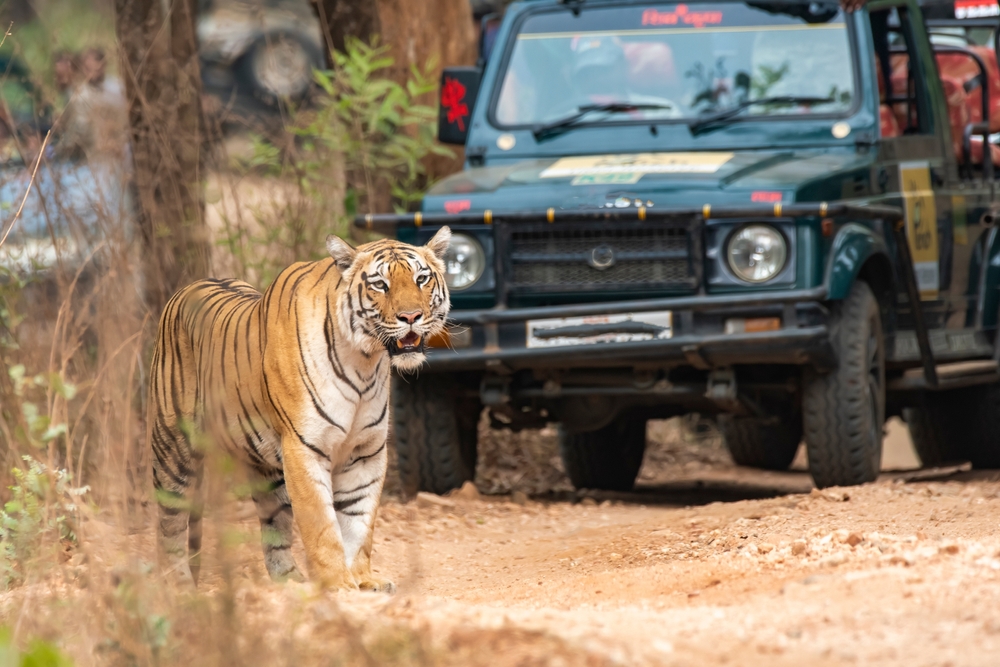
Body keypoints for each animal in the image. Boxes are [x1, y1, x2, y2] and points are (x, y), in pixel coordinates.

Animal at [146, 227, 452, 592]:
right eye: (380, 284)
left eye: (422, 279)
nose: (411, 317)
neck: (364, 361)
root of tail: (185, 289)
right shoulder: (304, 448)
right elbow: (321, 523)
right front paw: (338, 583)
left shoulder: (366, 453)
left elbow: (359, 522)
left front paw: (363, 580)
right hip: (173, 449)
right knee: (171, 522)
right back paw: (177, 584)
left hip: (265, 469)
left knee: (274, 527)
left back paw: (290, 581)